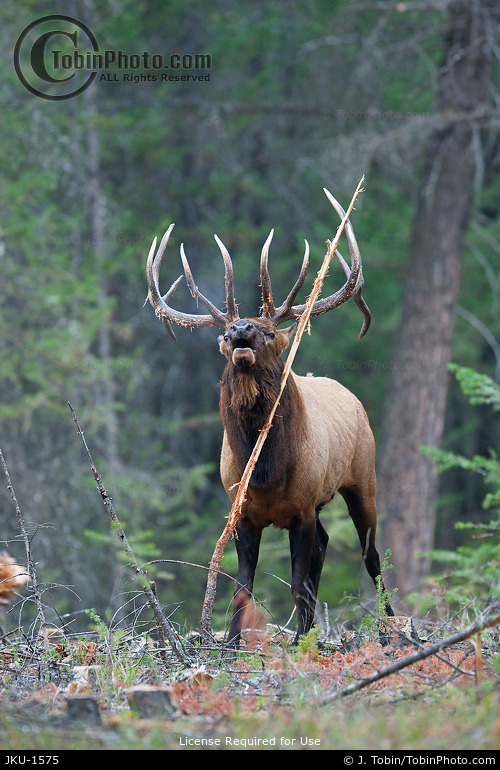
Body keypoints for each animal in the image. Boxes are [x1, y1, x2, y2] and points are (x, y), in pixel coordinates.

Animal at [146, 188, 393, 647]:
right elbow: (242, 589)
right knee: (326, 547)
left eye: (269, 332)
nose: (241, 330)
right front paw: (229, 645)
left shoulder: (302, 508)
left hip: (362, 477)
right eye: (224, 335)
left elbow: (297, 583)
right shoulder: (243, 514)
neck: (266, 474)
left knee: (371, 557)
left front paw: (296, 645)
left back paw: (392, 627)